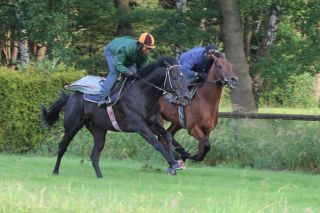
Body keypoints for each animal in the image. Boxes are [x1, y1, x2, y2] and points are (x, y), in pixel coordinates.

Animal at [43, 55, 192, 177]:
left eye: (184, 77)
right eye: (174, 77)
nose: (186, 97)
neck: (143, 94)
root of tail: (70, 97)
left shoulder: (153, 122)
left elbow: (167, 136)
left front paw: (175, 161)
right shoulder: (139, 126)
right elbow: (156, 143)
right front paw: (173, 162)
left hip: (98, 130)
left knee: (94, 155)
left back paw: (100, 177)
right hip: (73, 126)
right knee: (62, 146)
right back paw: (55, 171)